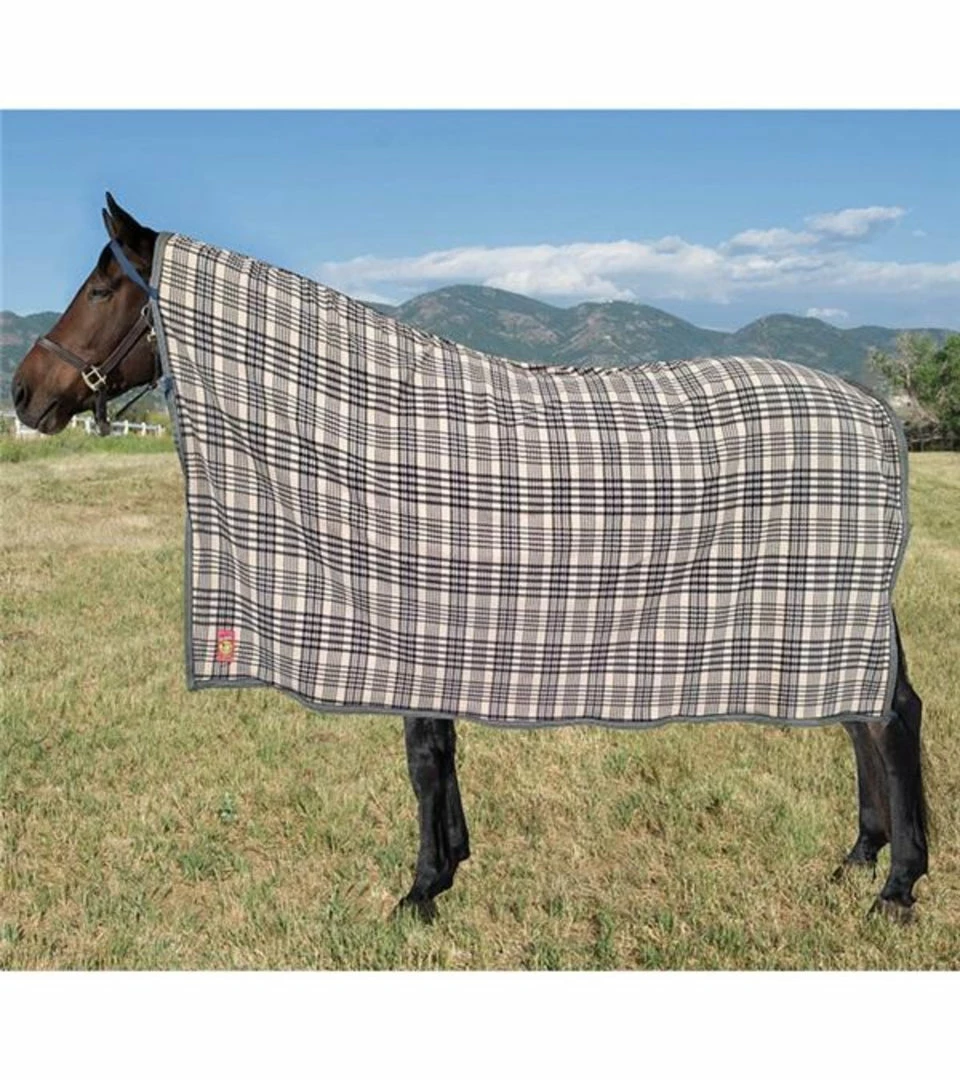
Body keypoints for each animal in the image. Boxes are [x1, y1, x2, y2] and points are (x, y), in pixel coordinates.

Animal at [10, 194, 929, 923]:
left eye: (101, 288)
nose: (23, 391)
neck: (372, 422)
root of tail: (877, 411)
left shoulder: (416, 621)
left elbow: (425, 759)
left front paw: (420, 890)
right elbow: (437, 753)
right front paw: (449, 867)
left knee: (888, 719)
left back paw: (898, 886)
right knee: (866, 715)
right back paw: (861, 857)